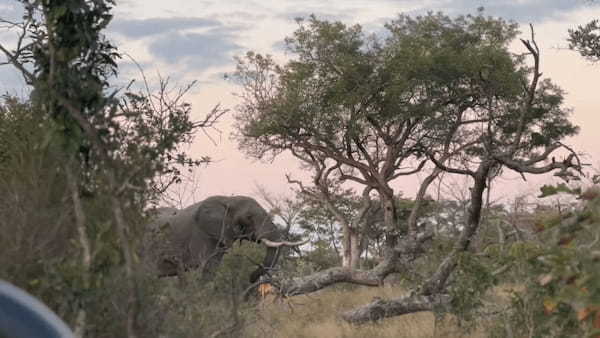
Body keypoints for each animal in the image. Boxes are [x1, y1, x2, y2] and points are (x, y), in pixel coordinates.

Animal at [144, 195, 304, 282]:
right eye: (249, 217)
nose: (251, 278)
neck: (229, 199)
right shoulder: (201, 233)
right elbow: (202, 267)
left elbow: (212, 269)